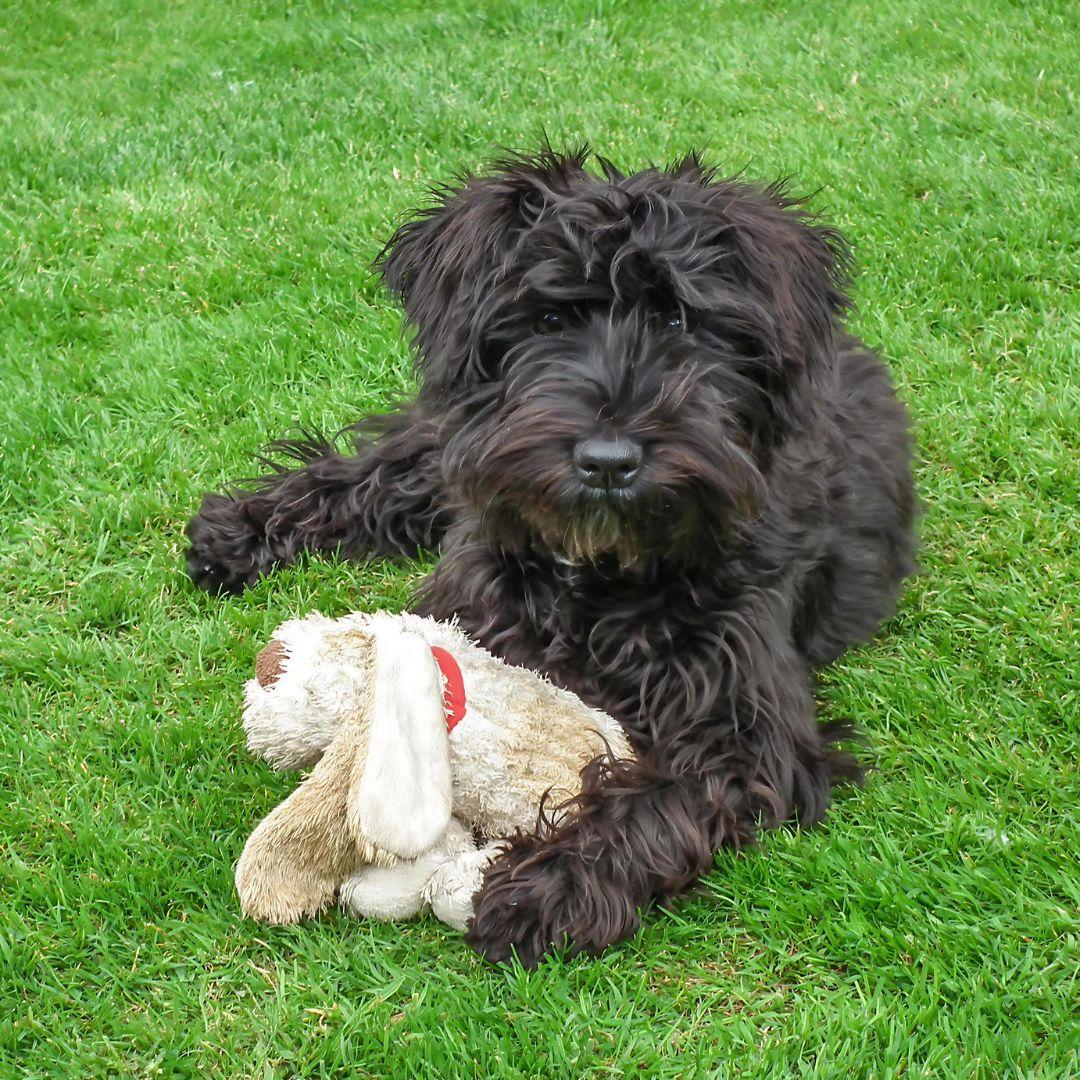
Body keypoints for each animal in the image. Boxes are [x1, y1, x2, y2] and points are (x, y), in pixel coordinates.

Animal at [185, 147, 911, 967]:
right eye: (550, 318)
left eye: (679, 321)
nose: (608, 462)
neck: (600, 575)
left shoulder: (745, 723)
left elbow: (659, 795)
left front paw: (549, 885)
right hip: (450, 454)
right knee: (373, 472)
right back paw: (236, 533)